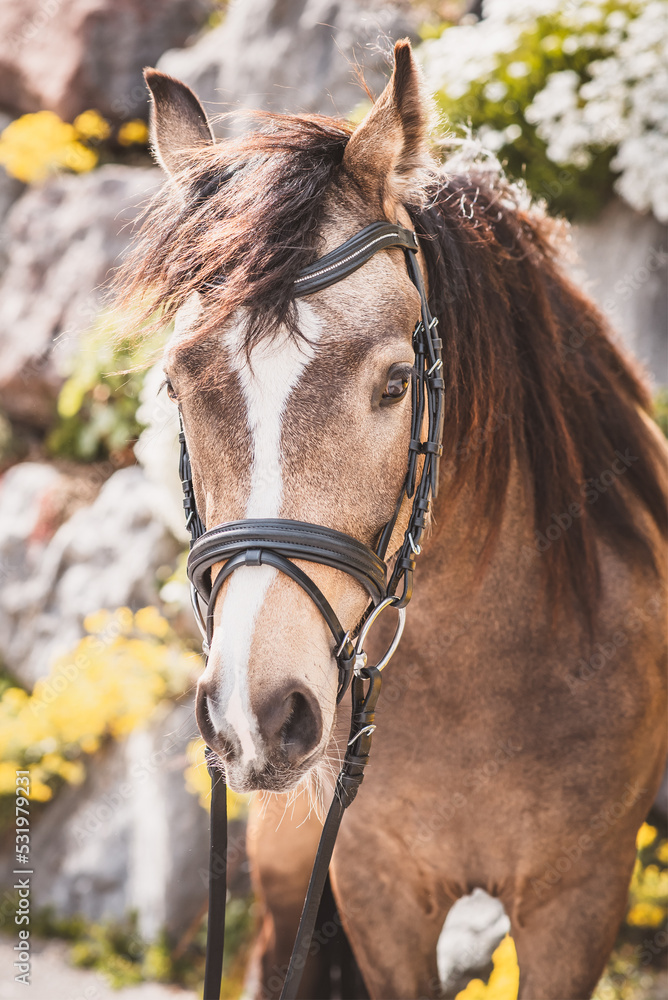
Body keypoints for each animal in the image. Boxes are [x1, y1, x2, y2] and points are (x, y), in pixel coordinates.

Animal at [117, 40, 668, 1000]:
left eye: (397, 382)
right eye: (179, 388)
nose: (255, 714)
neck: (486, 672)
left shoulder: (580, 900)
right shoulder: (376, 889)